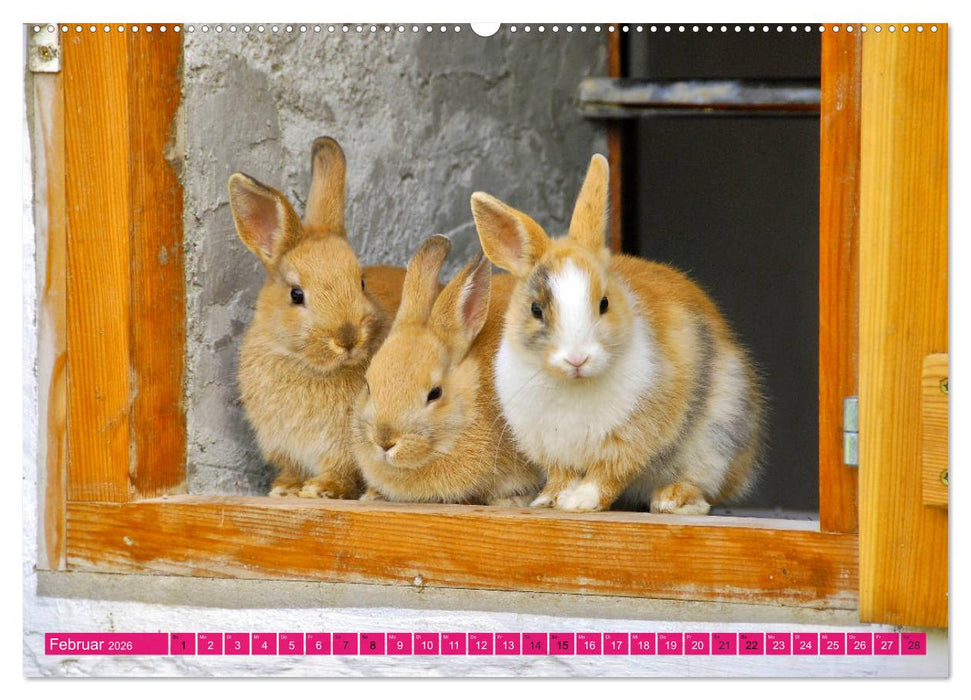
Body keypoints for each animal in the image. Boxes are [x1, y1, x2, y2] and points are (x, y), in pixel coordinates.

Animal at [229, 137, 406, 499]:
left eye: (361, 282)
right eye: (296, 294)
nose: (348, 337)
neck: (309, 366)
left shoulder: (345, 448)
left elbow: (342, 470)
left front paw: (321, 489)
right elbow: (293, 469)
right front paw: (285, 488)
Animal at [469, 154, 764, 514]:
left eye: (604, 303)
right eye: (536, 309)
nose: (577, 358)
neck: (573, 385)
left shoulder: (630, 438)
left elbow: (608, 473)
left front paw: (580, 502)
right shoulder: (550, 448)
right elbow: (561, 475)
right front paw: (548, 501)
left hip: (717, 439)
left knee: (705, 489)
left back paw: (672, 500)